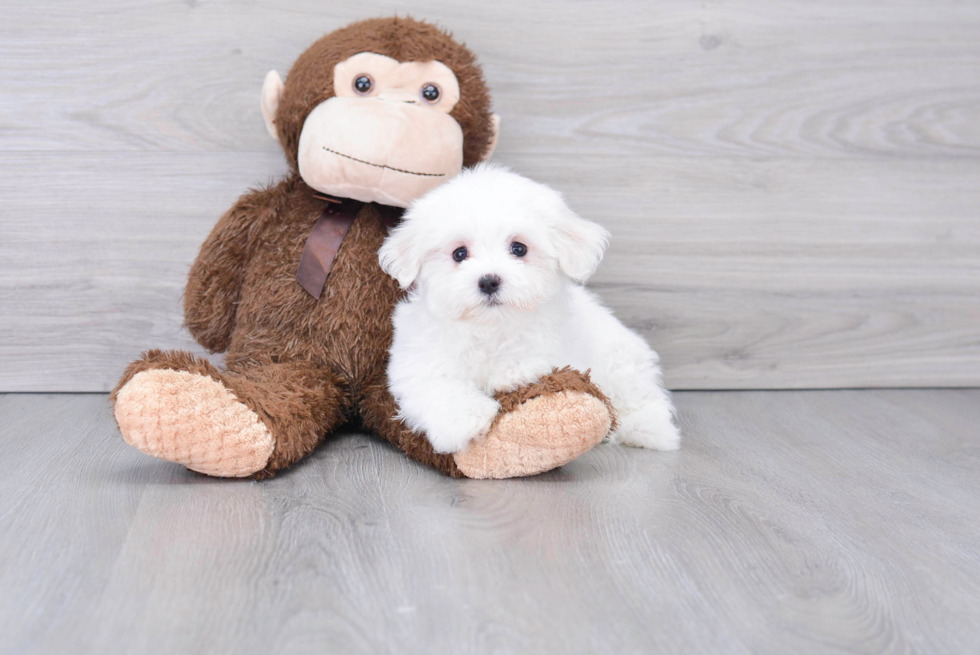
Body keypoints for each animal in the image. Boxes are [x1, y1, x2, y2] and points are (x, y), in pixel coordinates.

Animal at [378, 165, 680, 456]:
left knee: (642, 398)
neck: (490, 328)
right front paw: (467, 420)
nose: (488, 281)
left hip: (621, 362)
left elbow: (533, 358)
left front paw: (511, 373)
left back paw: (648, 430)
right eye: (459, 254)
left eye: (519, 248)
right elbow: (436, 386)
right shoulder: (416, 361)